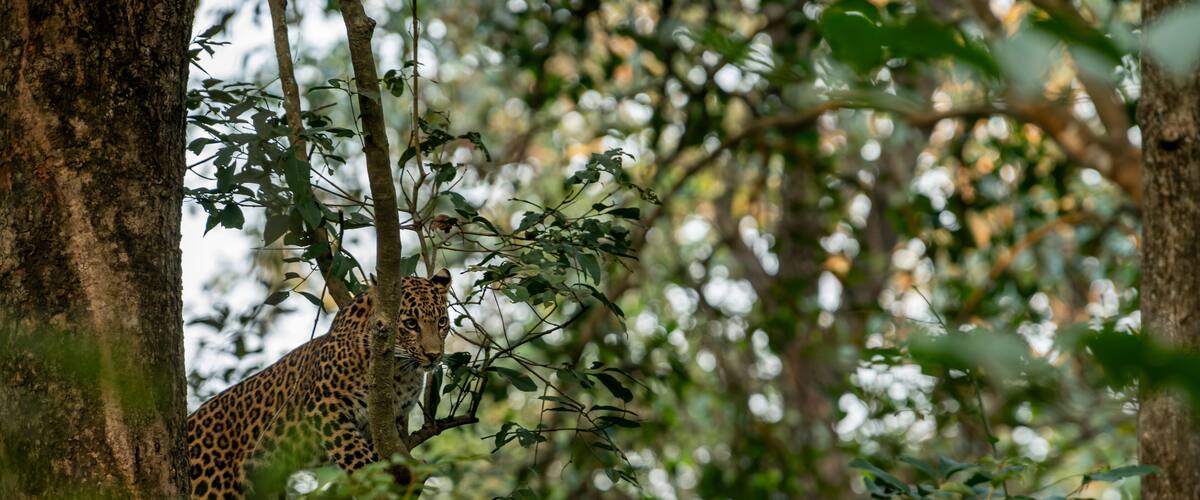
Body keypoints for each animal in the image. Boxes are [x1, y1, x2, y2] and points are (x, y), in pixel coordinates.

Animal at [186, 269, 452, 499]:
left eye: (441, 322)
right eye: (410, 324)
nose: (433, 355)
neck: (400, 371)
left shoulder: (386, 424)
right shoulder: (324, 406)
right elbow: (352, 452)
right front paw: (369, 482)